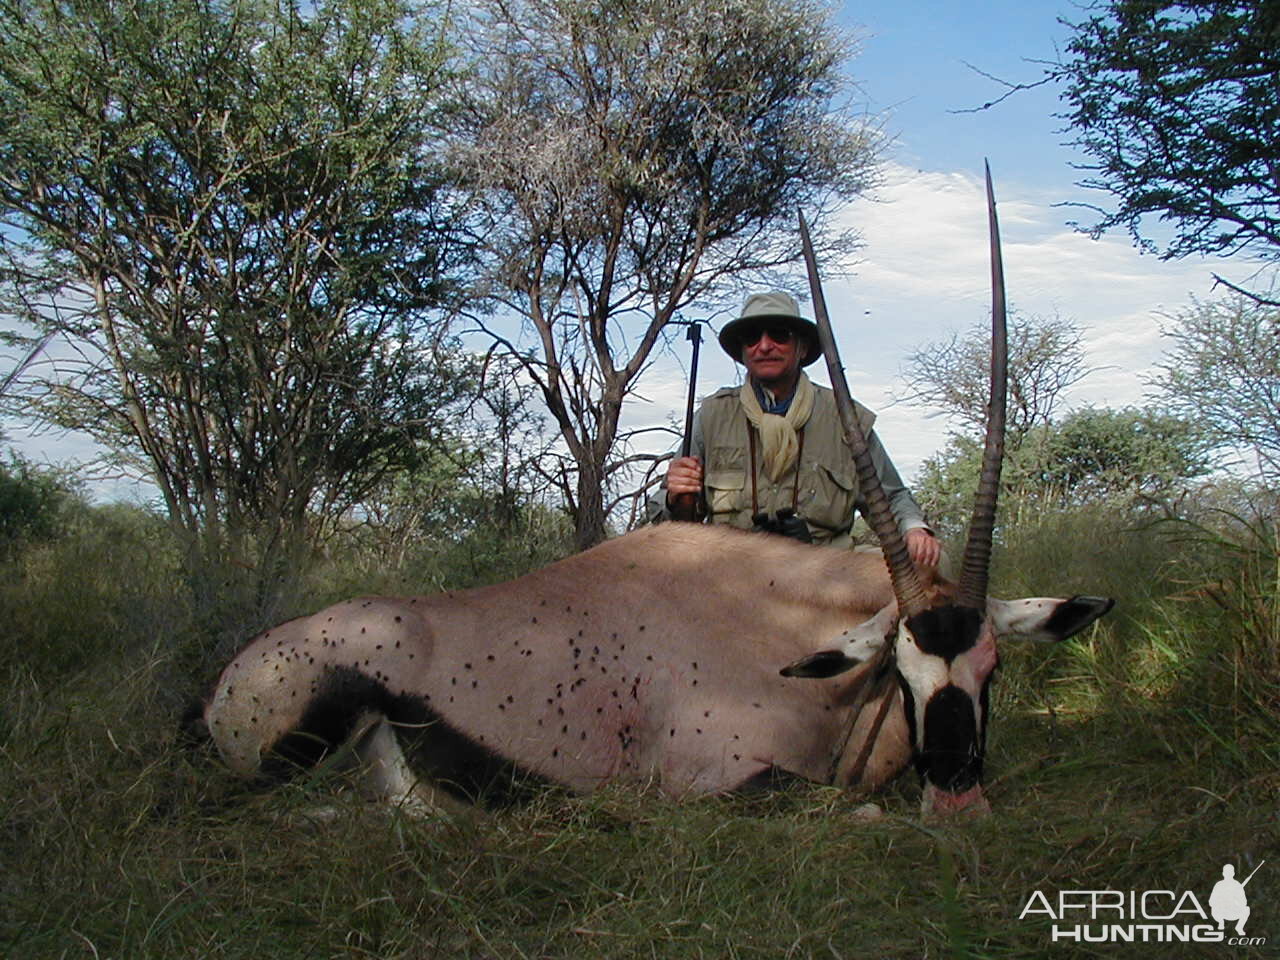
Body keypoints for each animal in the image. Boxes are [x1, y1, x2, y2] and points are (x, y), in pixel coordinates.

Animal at [197, 167, 1111, 819]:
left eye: (992, 667)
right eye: (903, 667)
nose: (958, 793)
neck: (789, 635)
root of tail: (223, 683)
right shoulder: (716, 781)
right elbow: (852, 811)